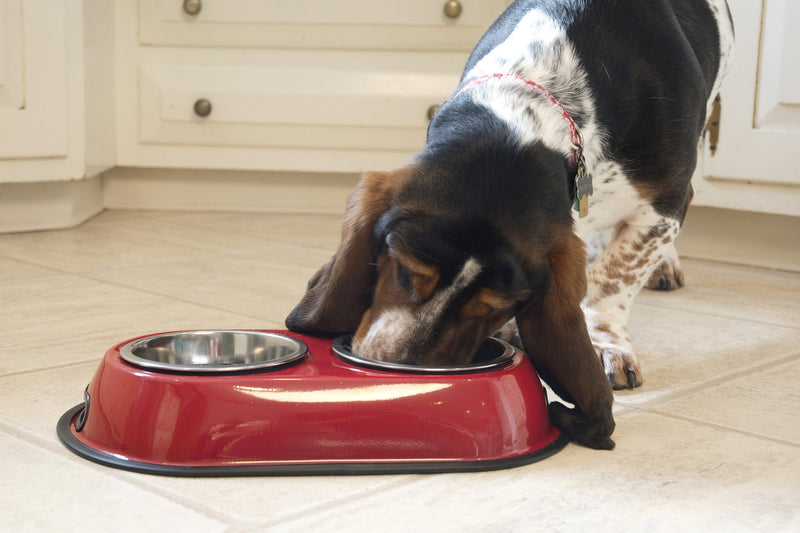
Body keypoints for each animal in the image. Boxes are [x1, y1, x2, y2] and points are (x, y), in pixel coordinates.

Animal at [284, 0, 736, 448]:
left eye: (494, 306)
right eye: (407, 272)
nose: (399, 370)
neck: (541, 101)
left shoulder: (667, 202)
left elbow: (614, 279)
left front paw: (605, 343)